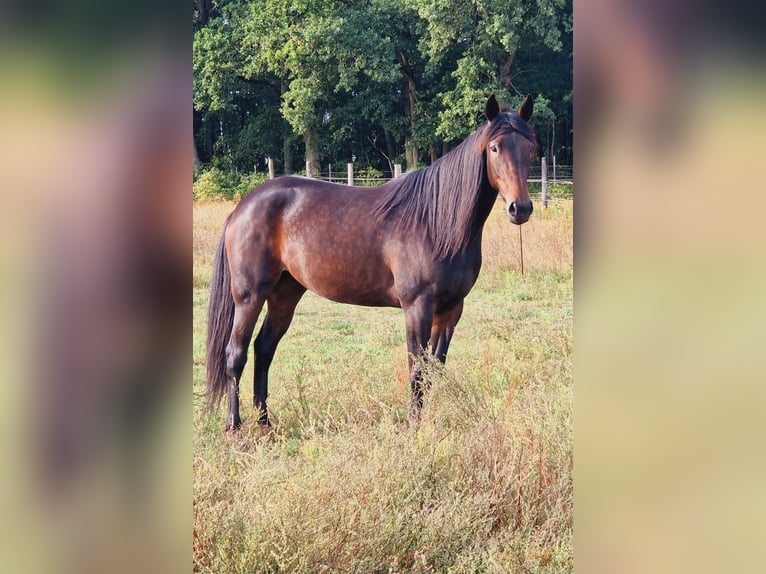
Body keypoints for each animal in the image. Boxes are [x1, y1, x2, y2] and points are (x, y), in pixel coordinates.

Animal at [207, 93, 536, 432]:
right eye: (494, 148)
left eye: (531, 148)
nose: (520, 208)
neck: (435, 222)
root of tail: (244, 206)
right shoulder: (417, 306)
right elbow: (417, 369)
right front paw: (414, 426)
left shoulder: (451, 310)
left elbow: (434, 369)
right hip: (249, 296)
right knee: (235, 354)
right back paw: (233, 425)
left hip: (285, 295)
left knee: (264, 349)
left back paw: (265, 421)